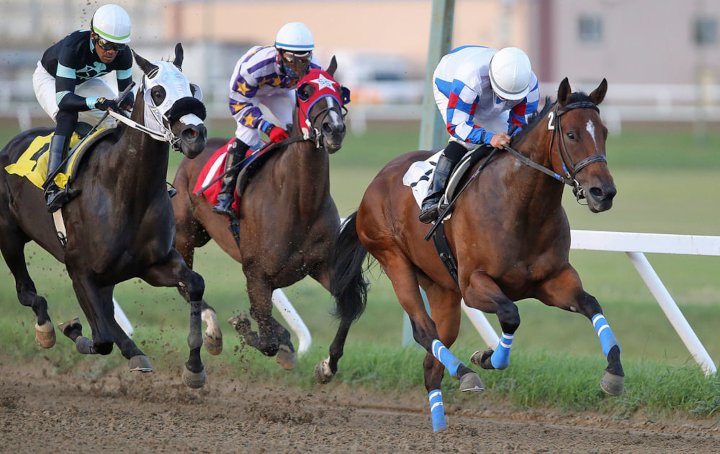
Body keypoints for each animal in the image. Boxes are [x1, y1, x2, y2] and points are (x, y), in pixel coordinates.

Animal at [0, 44, 215, 388]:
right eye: (157, 92)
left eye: (192, 87)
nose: (196, 135)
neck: (125, 190)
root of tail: (11, 144)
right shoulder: (79, 269)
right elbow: (100, 339)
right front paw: (72, 328)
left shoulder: (152, 264)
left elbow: (194, 284)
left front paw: (194, 367)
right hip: (9, 234)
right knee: (26, 292)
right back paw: (47, 330)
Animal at [172, 58, 368, 382]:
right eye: (304, 91)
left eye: (341, 90)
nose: (334, 129)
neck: (300, 203)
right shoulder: (256, 274)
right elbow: (265, 339)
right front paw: (246, 328)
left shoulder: (322, 266)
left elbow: (348, 309)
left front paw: (326, 365)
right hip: (187, 236)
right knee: (185, 284)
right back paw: (212, 333)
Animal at [332, 79, 620, 432]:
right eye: (571, 134)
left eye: (604, 131)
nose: (603, 193)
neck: (522, 206)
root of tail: (373, 185)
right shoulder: (473, 285)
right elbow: (511, 314)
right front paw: (487, 358)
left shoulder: (553, 281)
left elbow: (591, 304)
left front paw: (614, 373)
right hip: (394, 260)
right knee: (424, 331)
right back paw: (465, 374)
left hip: (441, 287)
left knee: (431, 362)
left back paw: (440, 424)